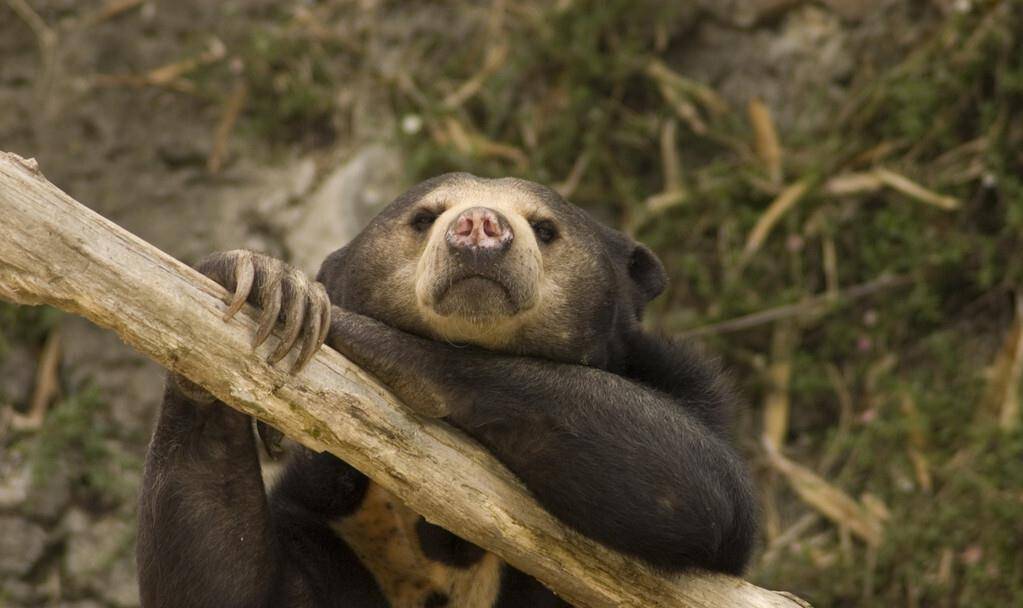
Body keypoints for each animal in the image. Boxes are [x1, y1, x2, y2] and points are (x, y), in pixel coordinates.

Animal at [136, 171, 757, 605]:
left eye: (545, 229)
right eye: (424, 217)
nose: (480, 226)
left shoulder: (681, 385)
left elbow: (697, 484)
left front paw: (353, 329)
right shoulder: (330, 528)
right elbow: (221, 585)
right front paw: (268, 282)